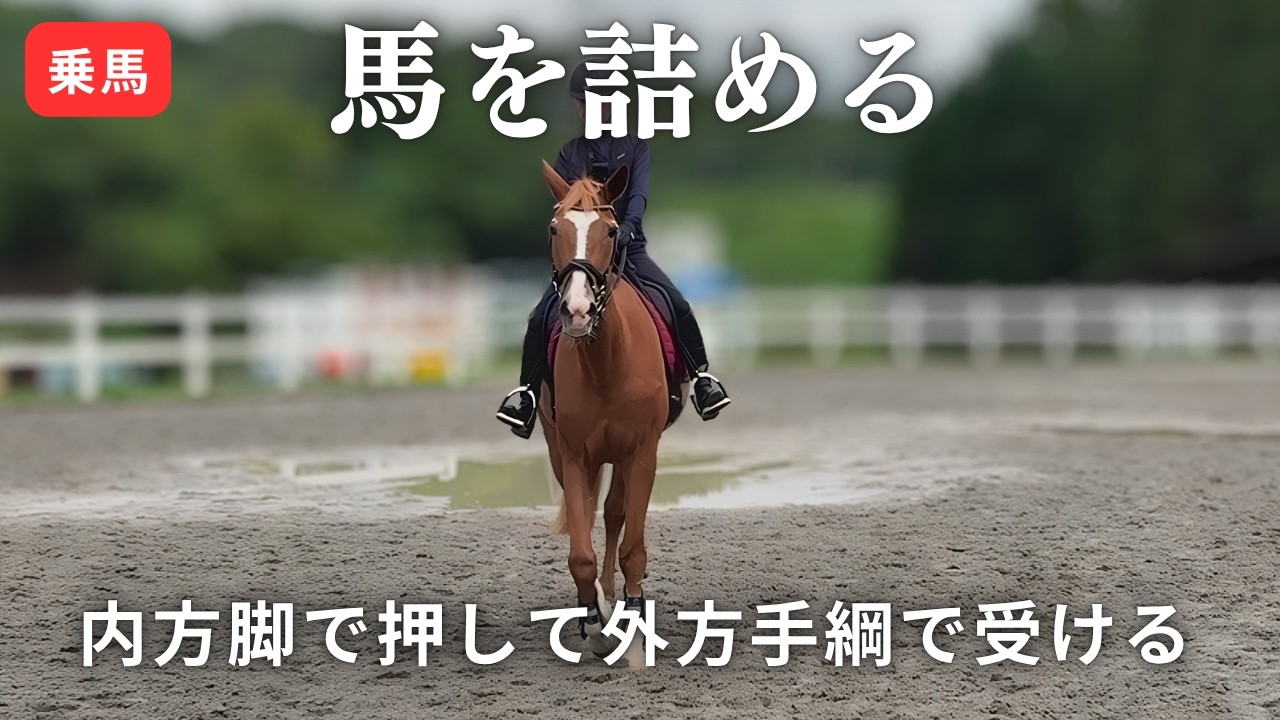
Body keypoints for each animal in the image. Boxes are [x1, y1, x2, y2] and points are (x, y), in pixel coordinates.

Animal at [536, 159, 671, 657]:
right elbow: (580, 552)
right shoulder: (573, 455)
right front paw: (593, 620)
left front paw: (630, 611)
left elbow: (632, 544)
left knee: (616, 515)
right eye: (554, 229)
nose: (576, 310)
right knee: (604, 515)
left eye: (612, 231)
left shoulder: (643, 453)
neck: (606, 363)